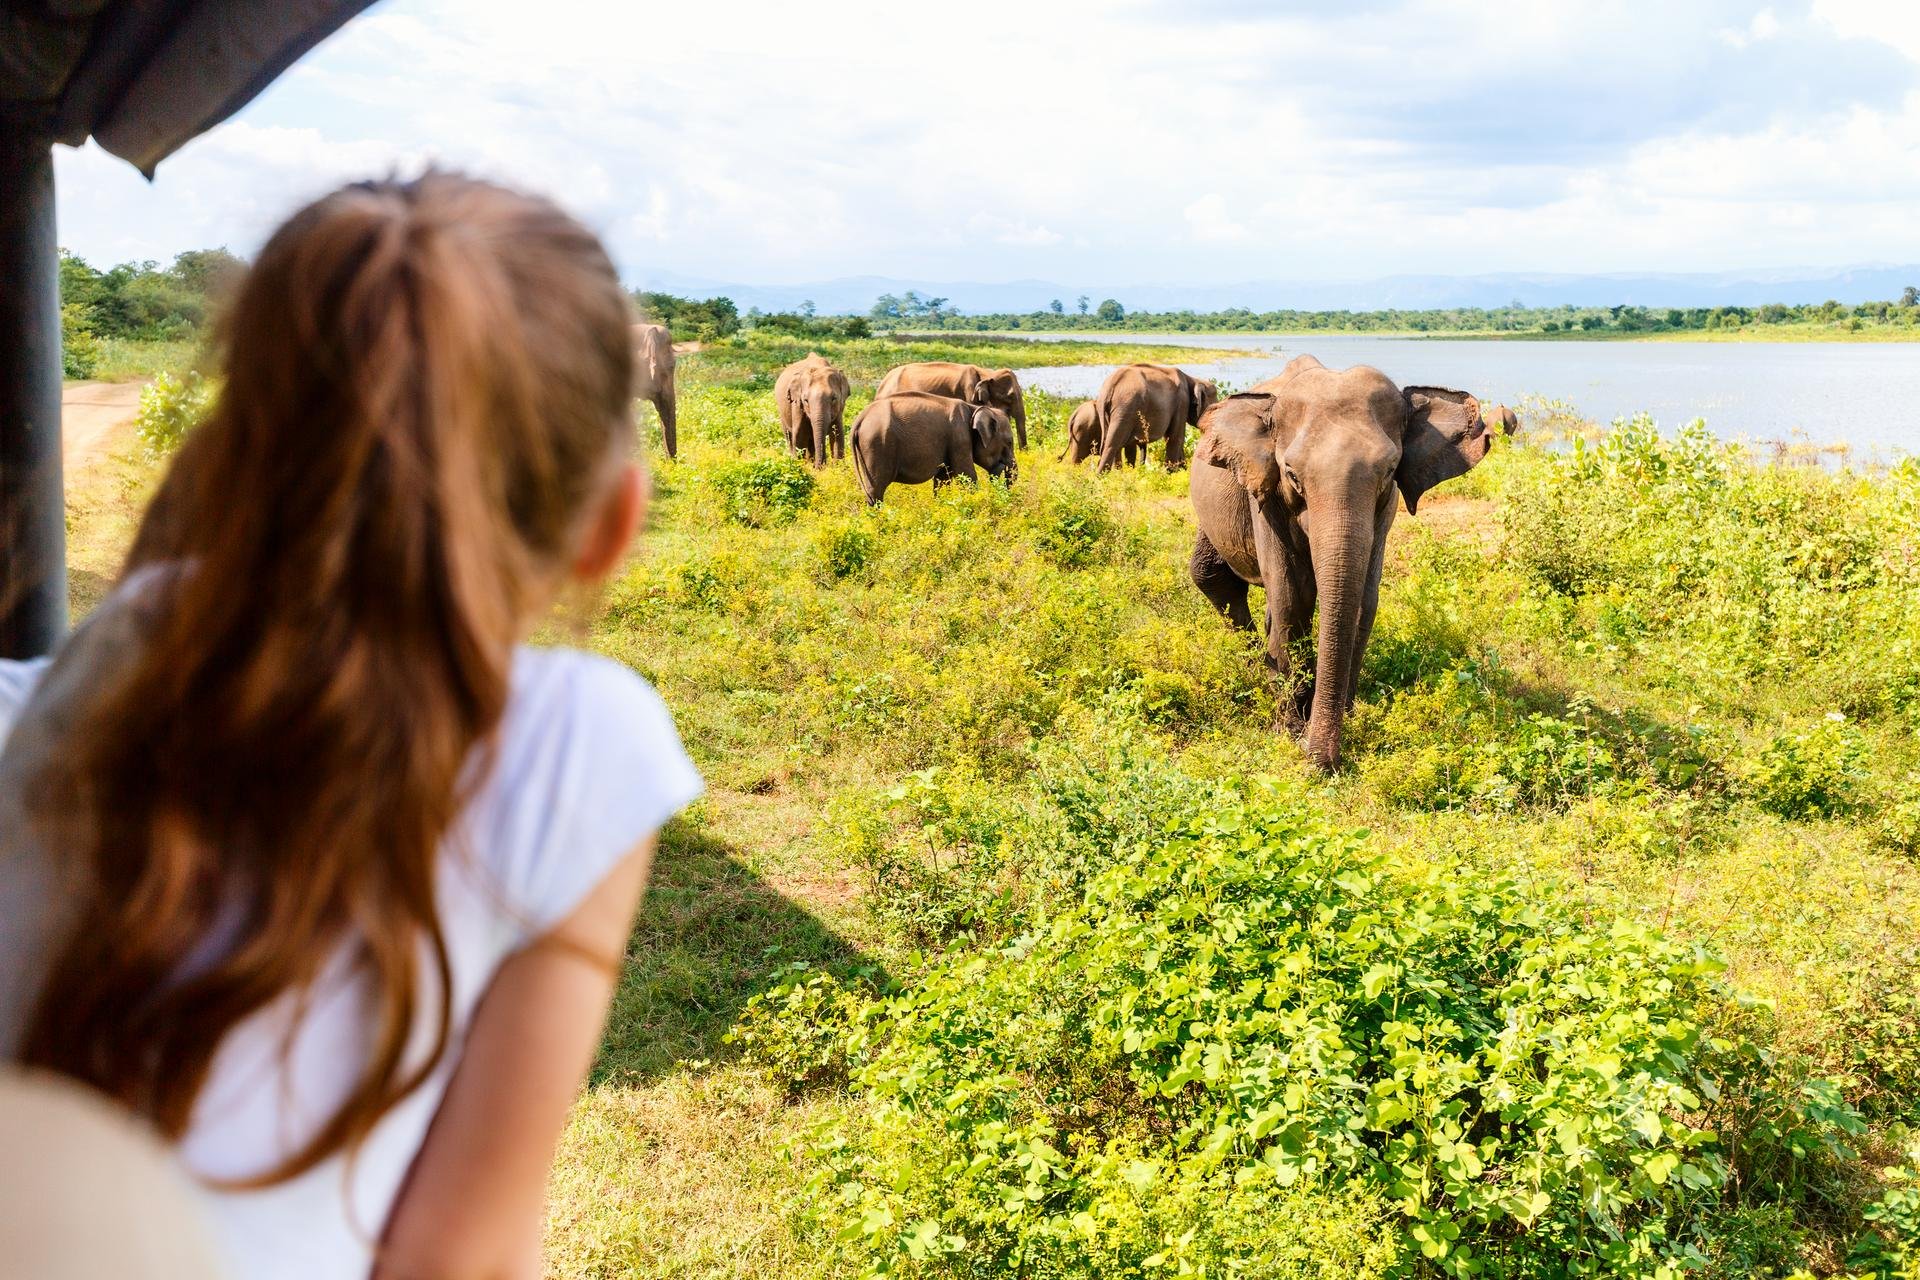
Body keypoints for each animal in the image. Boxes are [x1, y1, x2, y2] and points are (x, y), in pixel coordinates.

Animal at [848, 391, 1013, 506]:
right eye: (1010, 442)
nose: (1001, 466)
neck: (973, 408)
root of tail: (860, 418)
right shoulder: (960, 438)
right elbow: (966, 474)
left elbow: (943, 479)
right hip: (876, 445)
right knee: (876, 490)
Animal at [1190, 351, 1489, 771]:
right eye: (1292, 474)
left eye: (1388, 471)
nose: (1319, 761)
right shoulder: (1265, 496)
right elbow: (1293, 597)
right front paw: (1291, 730)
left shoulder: (1386, 508)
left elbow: (1364, 597)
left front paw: (1340, 719)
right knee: (1213, 577)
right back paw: (1259, 673)